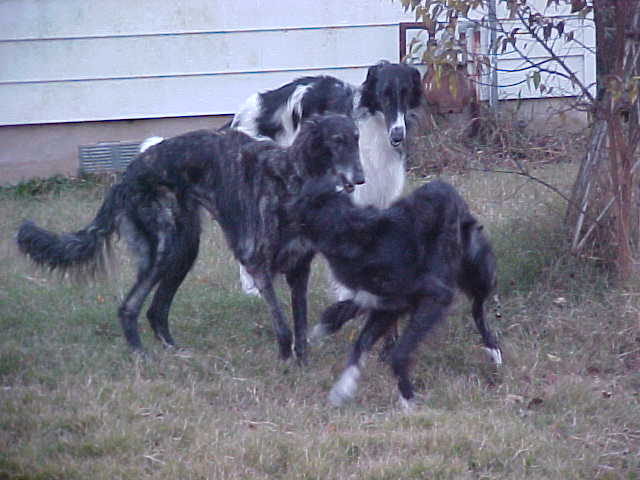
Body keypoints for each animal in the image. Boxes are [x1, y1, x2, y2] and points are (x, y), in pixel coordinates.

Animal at [15, 112, 362, 362]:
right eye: (337, 140)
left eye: (357, 139)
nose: (360, 178)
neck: (291, 179)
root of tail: (125, 177)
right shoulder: (256, 263)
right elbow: (284, 326)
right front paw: (285, 362)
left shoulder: (299, 269)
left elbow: (301, 327)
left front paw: (301, 364)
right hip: (164, 247)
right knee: (129, 307)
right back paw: (141, 356)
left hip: (185, 249)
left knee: (156, 310)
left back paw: (174, 351)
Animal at [292, 176, 504, 408]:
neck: (355, 238)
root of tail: (444, 185)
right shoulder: (387, 306)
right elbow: (360, 344)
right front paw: (343, 389)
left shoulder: (436, 296)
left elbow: (398, 352)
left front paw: (407, 398)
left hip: (478, 269)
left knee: (478, 307)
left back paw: (494, 351)